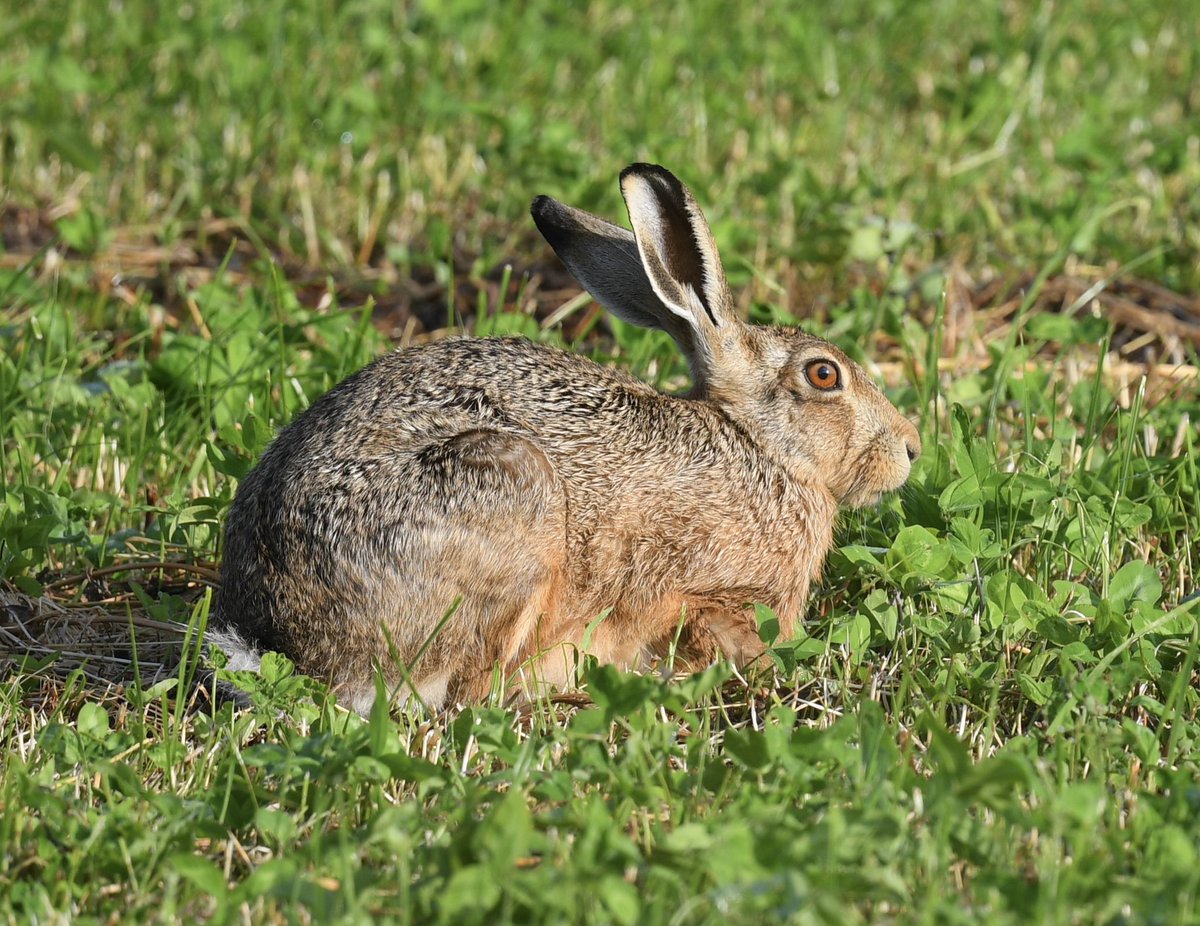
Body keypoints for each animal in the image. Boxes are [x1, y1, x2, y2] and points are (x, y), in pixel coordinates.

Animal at [210, 163, 921, 713]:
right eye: (824, 375)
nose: (910, 448)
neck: (759, 447)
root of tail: (282, 636)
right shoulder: (711, 594)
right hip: (513, 507)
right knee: (465, 693)